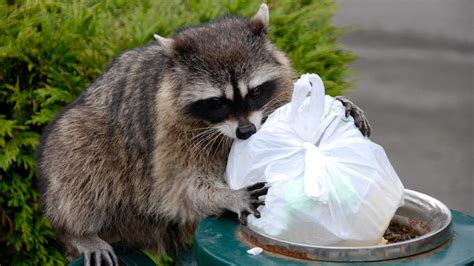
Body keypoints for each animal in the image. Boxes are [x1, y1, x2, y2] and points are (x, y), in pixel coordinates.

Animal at [37, 4, 370, 266]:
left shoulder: (276, 93)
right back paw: (79, 232)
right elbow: (179, 188)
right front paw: (228, 195)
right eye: (217, 102)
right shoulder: (170, 133)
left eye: (255, 92)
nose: (246, 131)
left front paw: (340, 105)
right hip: (83, 135)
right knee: (80, 161)